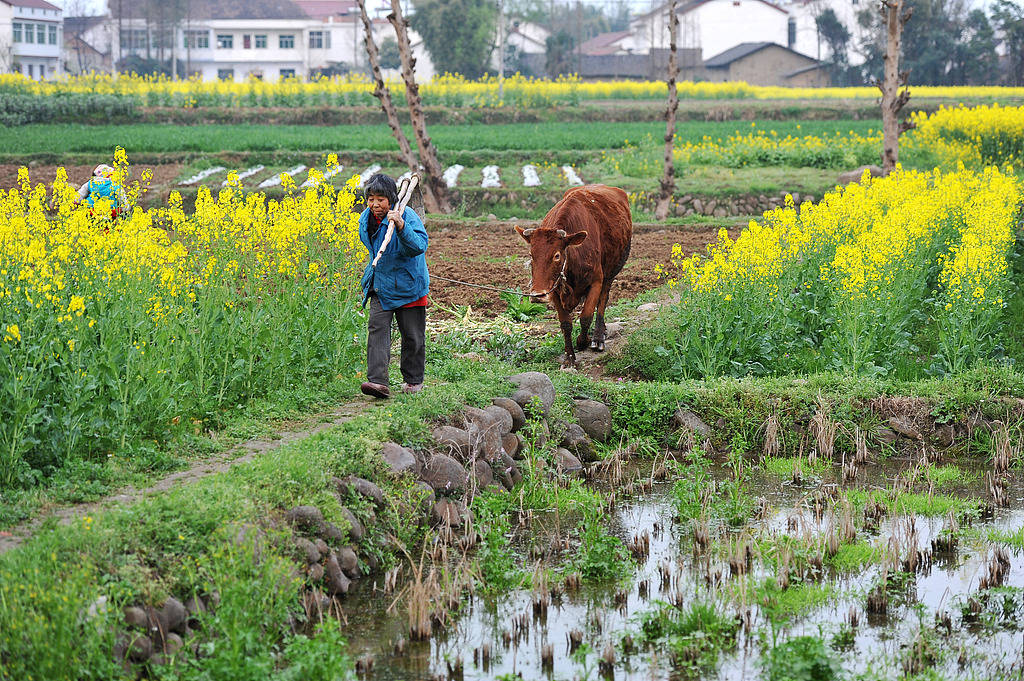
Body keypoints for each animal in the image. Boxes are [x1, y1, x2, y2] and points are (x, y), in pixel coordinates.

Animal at [516, 182, 626, 366]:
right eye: (531, 254)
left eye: (557, 255)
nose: (538, 295)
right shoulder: (554, 289)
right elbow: (565, 323)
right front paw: (569, 357)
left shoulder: (596, 281)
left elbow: (586, 316)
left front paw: (583, 341)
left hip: (610, 274)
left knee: (602, 302)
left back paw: (598, 337)